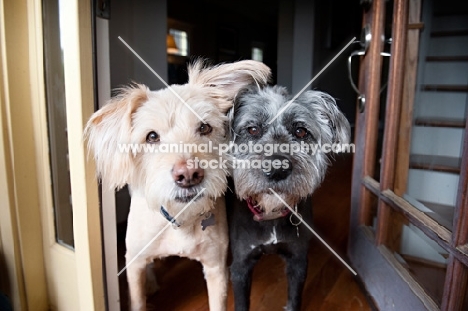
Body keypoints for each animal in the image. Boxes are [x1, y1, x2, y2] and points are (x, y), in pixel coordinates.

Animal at [84, 59, 270, 310]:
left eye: (204, 128)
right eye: (151, 137)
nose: (189, 174)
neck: (181, 217)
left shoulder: (216, 268)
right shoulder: (133, 264)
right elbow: (138, 299)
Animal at [225, 86, 350, 311]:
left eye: (300, 131)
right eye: (252, 129)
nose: (277, 168)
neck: (271, 216)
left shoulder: (298, 261)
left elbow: (294, 299)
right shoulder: (240, 267)